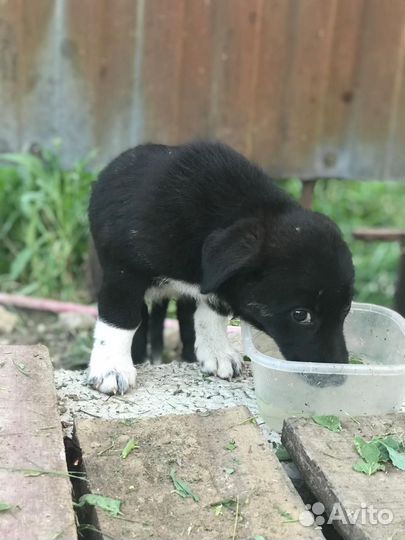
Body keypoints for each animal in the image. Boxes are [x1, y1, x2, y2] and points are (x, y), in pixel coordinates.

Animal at [87, 140, 352, 392]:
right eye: (300, 315)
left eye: (347, 309)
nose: (337, 380)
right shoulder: (123, 274)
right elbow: (120, 319)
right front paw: (111, 368)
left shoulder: (216, 286)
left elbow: (210, 315)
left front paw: (217, 352)